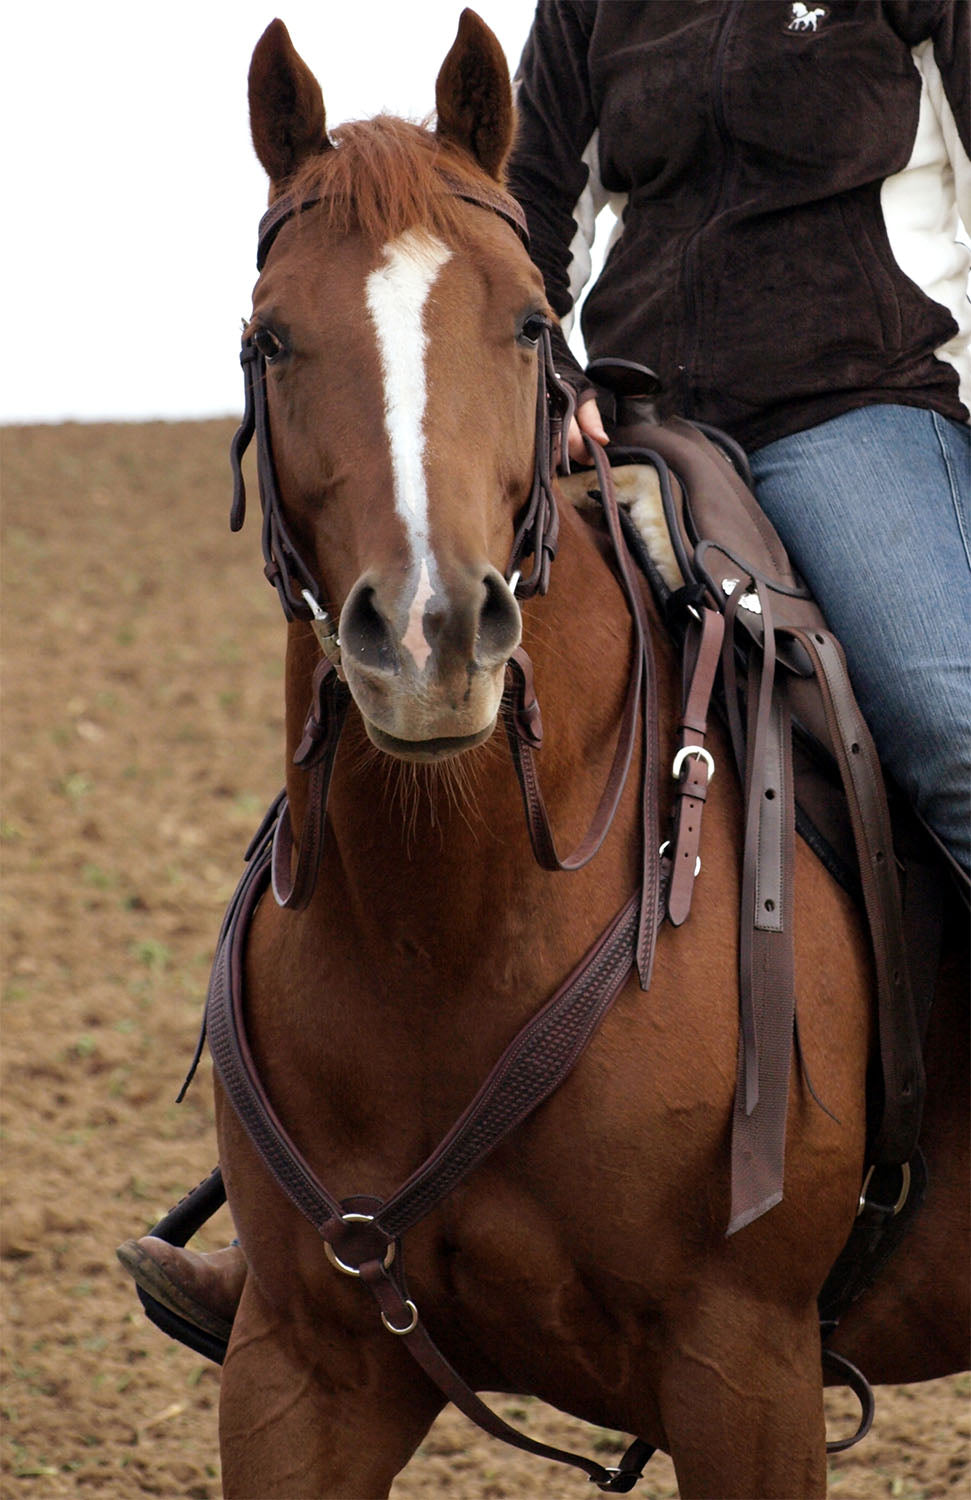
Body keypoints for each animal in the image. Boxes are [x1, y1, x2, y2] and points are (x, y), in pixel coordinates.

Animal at [216, 14, 966, 1500]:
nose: (431, 634)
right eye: (271, 338)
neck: (444, 936)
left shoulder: (745, 1369)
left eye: (523, 322)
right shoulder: (299, 1369)